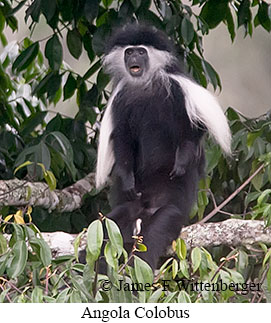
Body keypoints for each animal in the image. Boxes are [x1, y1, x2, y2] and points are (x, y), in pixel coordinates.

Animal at [95, 23, 232, 270]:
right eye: (129, 52)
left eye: (141, 51)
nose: (134, 58)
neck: (146, 84)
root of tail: (147, 209)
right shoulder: (121, 101)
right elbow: (122, 139)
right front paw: (128, 179)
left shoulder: (179, 88)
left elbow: (197, 127)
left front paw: (182, 160)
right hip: (129, 208)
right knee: (107, 227)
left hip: (171, 210)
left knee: (154, 235)